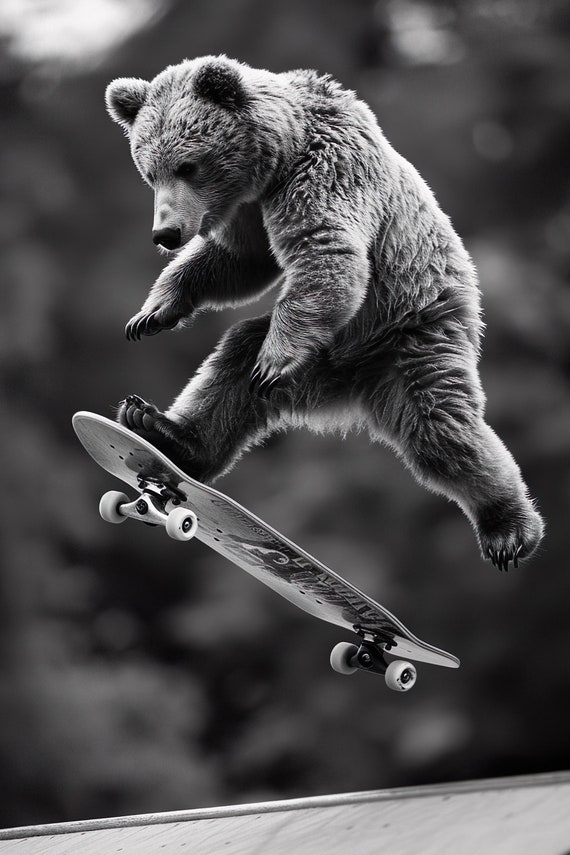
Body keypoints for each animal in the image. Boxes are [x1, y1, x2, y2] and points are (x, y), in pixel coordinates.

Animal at [105, 55, 544, 571]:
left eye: (187, 166)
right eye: (149, 172)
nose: (166, 233)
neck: (276, 160)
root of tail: (355, 391)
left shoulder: (327, 172)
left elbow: (326, 250)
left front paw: (271, 359)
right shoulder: (248, 211)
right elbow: (238, 262)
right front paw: (152, 313)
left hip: (412, 332)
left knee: (441, 430)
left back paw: (509, 529)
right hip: (322, 362)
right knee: (233, 364)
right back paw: (161, 427)